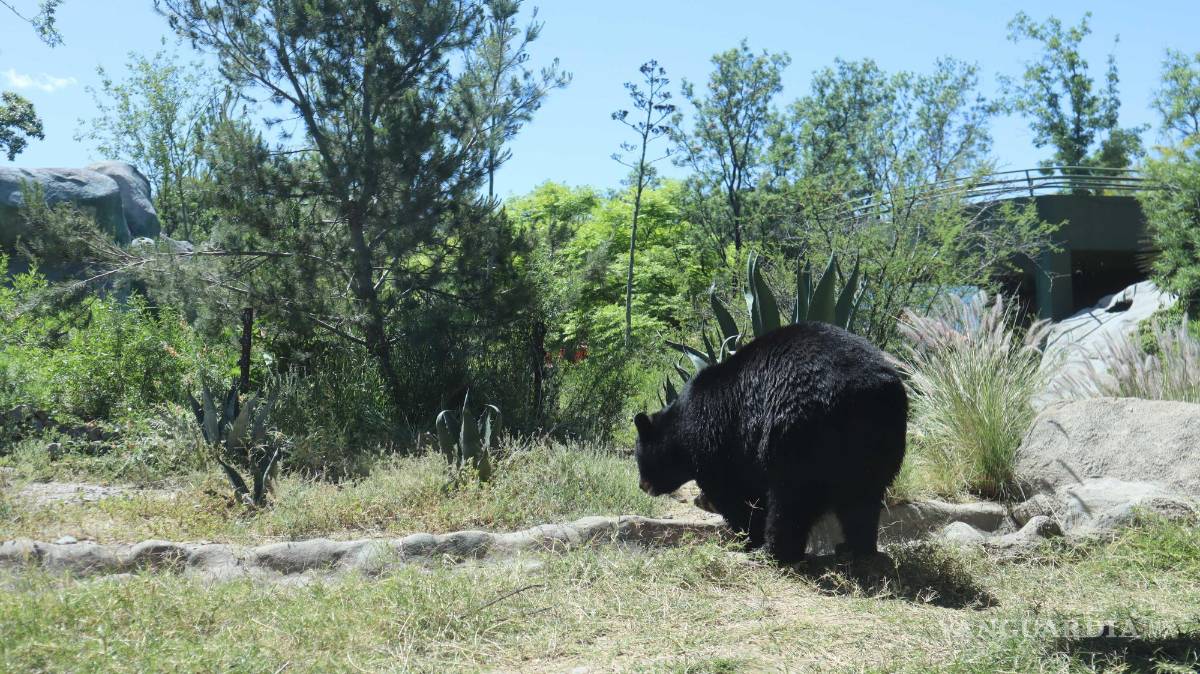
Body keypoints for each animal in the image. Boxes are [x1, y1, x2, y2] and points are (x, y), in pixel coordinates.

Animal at [634, 321, 907, 564]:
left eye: (640, 459)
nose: (642, 485)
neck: (684, 427)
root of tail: (866, 394)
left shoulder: (720, 442)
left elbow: (736, 495)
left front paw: (747, 538)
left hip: (797, 430)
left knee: (791, 498)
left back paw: (772, 552)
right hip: (881, 443)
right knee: (863, 499)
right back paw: (856, 548)